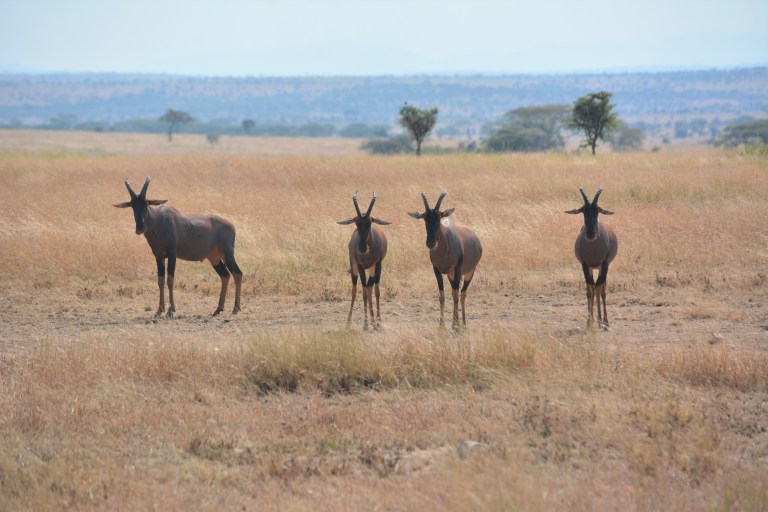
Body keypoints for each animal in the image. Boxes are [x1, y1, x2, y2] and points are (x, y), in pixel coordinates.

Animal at [114, 176, 243, 318]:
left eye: (146, 204)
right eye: (132, 205)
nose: (140, 228)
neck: (160, 220)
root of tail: (231, 224)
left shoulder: (172, 254)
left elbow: (170, 280)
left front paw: (171, 310)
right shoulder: (158, 256)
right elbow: (160, 281)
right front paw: (159, 310)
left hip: (227, 253)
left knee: (237, 273)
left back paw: (235, 308)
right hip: (213, 257)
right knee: (225, 275)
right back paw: (218, 309)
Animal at [337, 191, 391, 330]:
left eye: (370, 222)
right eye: (356, 223)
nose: (362, 248)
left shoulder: (378, 265)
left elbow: (376, 291)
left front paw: (378, 322)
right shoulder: (360, 267)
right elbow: (364, 293)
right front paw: (365, 324)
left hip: (372, 268)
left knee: (370, 288)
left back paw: (374, 322)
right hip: (354, 267)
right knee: (355, 290)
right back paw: (349, 322)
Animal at [409, 191, 482, 329]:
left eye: (439, 217)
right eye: (424, 217)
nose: (430, 243)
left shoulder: (457, 269)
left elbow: (456, 296)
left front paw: (455, 325)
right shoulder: (437, 270)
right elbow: (442, 296)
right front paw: (441, 324)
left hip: (469, 272)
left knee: (462, 294)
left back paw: (463, 323)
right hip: (450, 275)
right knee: (456, 292)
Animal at [565, 187, 618, 328]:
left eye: (598, 210)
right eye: (583, 211)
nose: (590, 234)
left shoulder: (605, 264)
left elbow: (599, 289)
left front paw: (602, 321)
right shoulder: (585, 265)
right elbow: (590, 290)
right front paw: (590, 321)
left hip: (601, 268)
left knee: (601, 289)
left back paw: (603, 321)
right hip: (592, 268)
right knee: (594, 288)